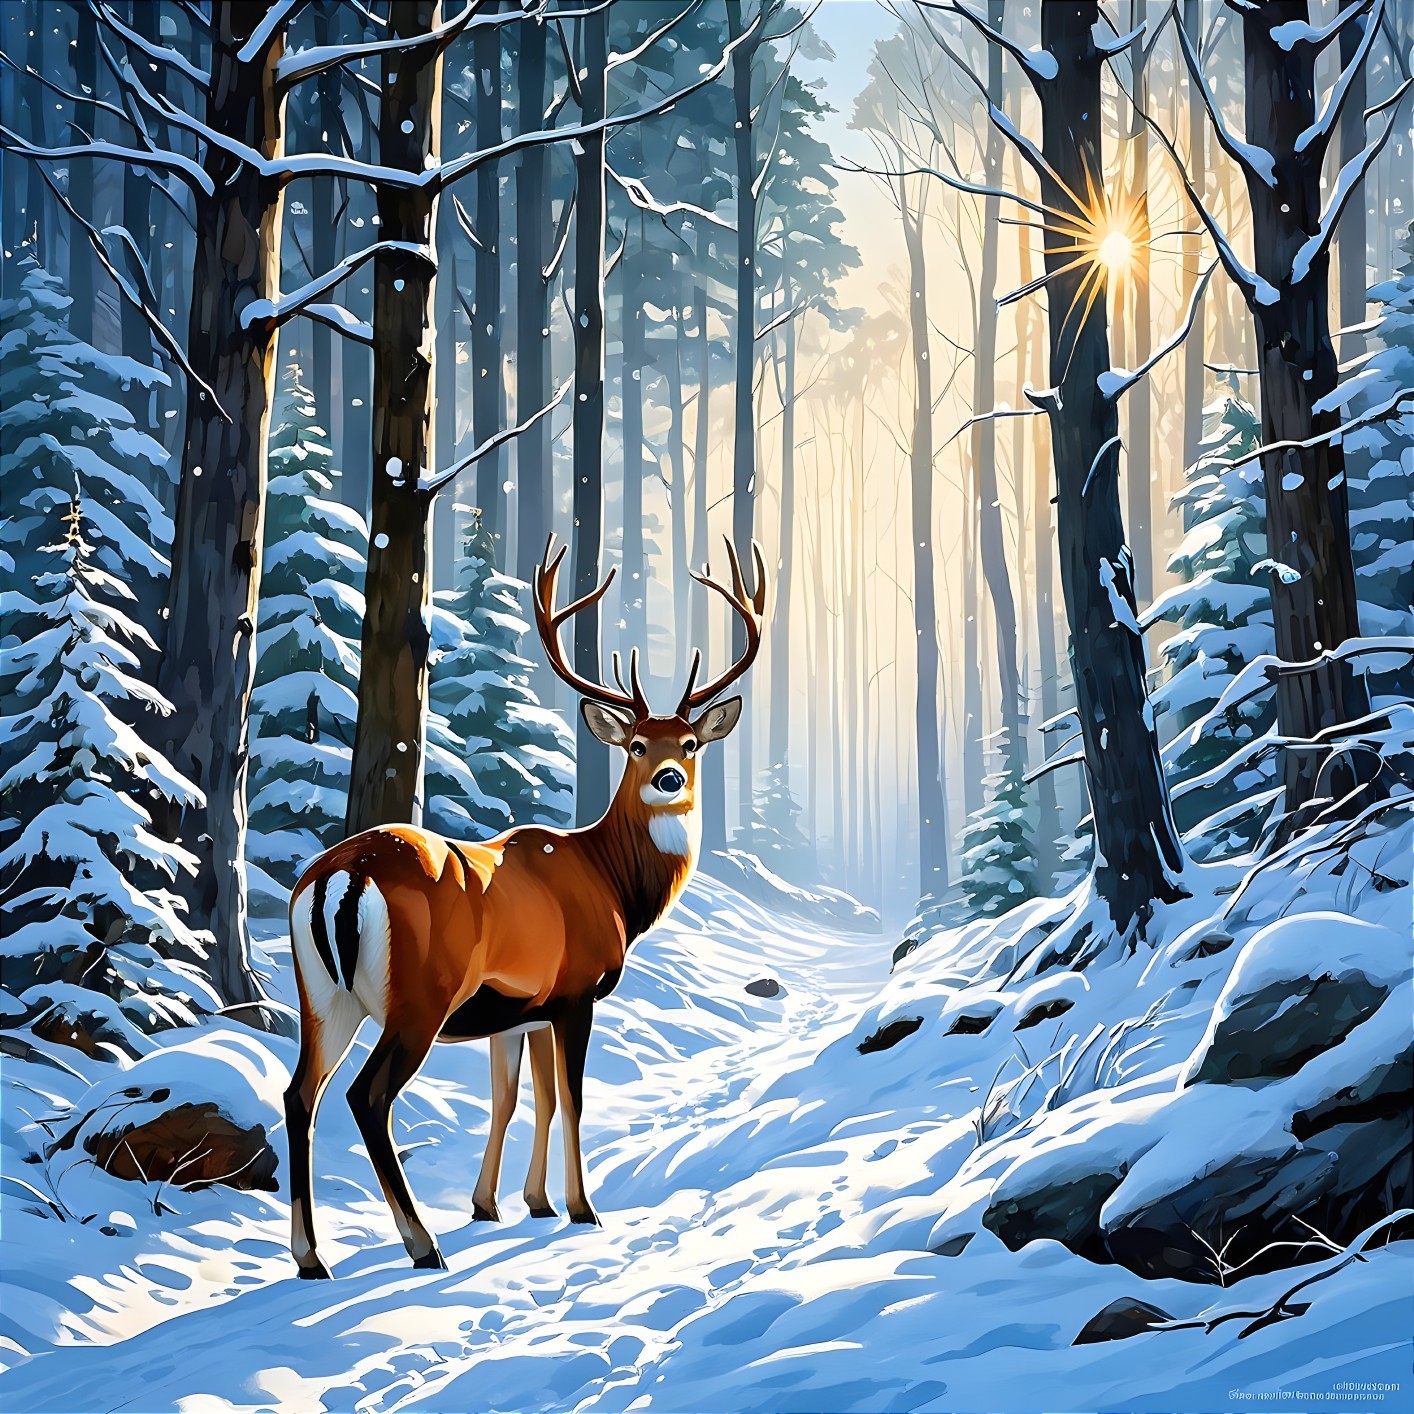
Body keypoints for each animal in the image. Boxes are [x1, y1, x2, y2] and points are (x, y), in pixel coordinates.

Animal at [284, 536, 766, 1278]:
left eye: (689, 743)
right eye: (635, 745)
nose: (668, 778)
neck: (612, 885)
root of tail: (339, 875)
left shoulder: (521, 1009)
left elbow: (518, 1098)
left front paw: (508, 1203)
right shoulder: (576, 991)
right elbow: (570, 1098)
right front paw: (582, 1208)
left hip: (323, 996)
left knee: (298, 1094)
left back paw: (312, 1259)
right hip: (419, 994)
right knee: (366, 1096)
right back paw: (422, 1245)